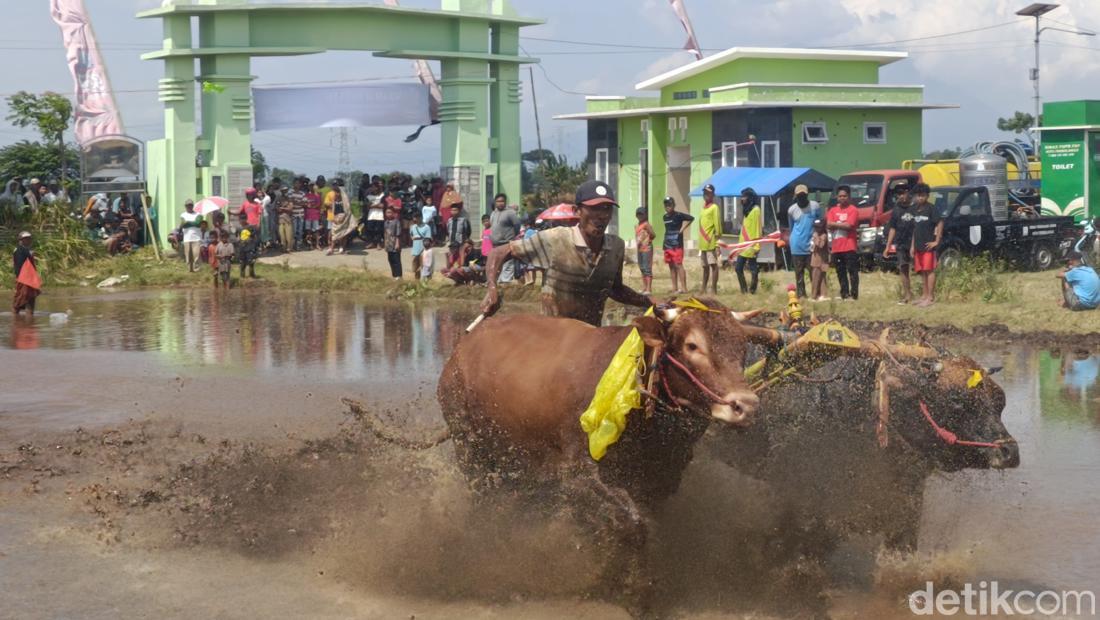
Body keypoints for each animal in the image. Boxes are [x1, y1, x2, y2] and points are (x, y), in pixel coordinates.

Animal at [433, 301, 761, 615]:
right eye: (692, 346)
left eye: (742, 345)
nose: (745, 405)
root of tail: (462, 348)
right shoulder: (578, 476)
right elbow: (633, 524)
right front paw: (632, 592)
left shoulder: (659, 482)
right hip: (469, 449)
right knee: (484, 500)